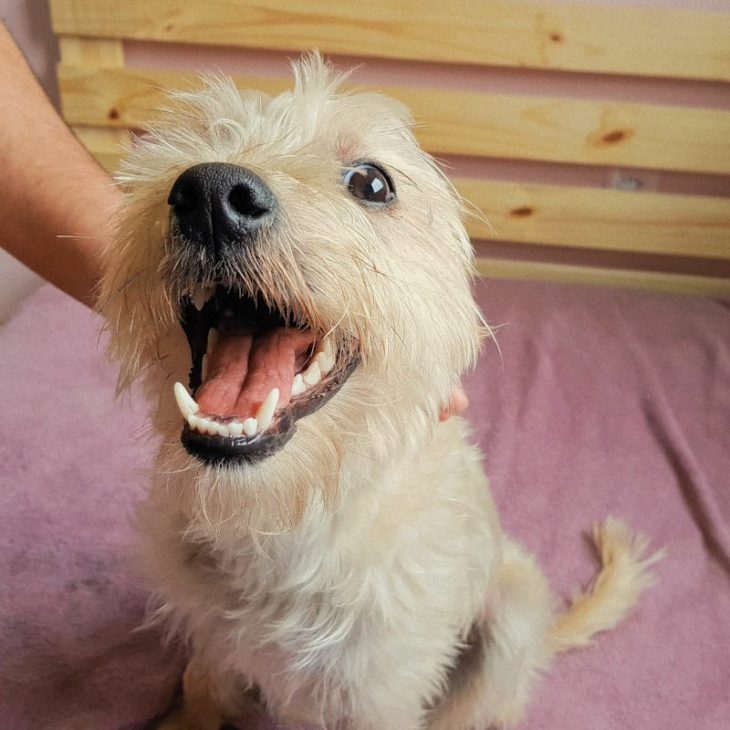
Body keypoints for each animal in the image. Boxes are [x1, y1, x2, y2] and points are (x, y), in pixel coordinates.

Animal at [99, 54, 664, 724]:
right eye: (201, 138)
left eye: (372, 183)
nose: (210, 193)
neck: (281, 516)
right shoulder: (210, 635)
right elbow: (201, 687)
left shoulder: (380, 690)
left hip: (513, 612)